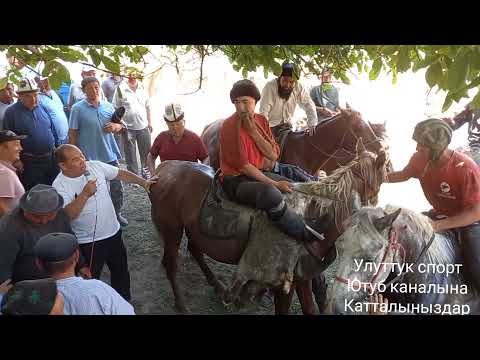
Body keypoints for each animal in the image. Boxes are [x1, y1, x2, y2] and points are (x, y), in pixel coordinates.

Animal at [148, 139, 388, 314]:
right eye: (384, 177)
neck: (315, 217)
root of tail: (162, 171)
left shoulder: (302, 279)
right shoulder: (285, 284)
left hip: (192, 229)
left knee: (195, 250)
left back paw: (216, 285)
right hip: (172, 230)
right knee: (171, 264)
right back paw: (181, 303)